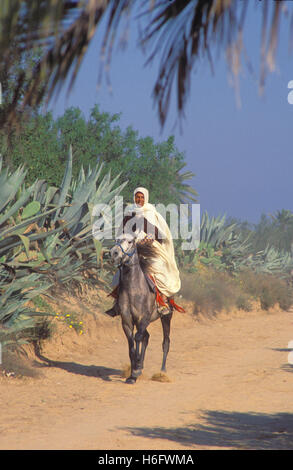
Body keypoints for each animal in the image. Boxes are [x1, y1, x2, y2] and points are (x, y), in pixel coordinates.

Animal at [109, 237, 173, 384]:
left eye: (130, 241)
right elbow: (131, 343)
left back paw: (162, 372)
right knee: (146, 337)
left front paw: (136, 371)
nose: (114, 253)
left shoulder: (143, 318)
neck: (133, 290)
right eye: (117, 239)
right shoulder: (127, 321)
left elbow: (137, 338)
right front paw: (133, 372)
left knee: (165, 342)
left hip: (166, 317)